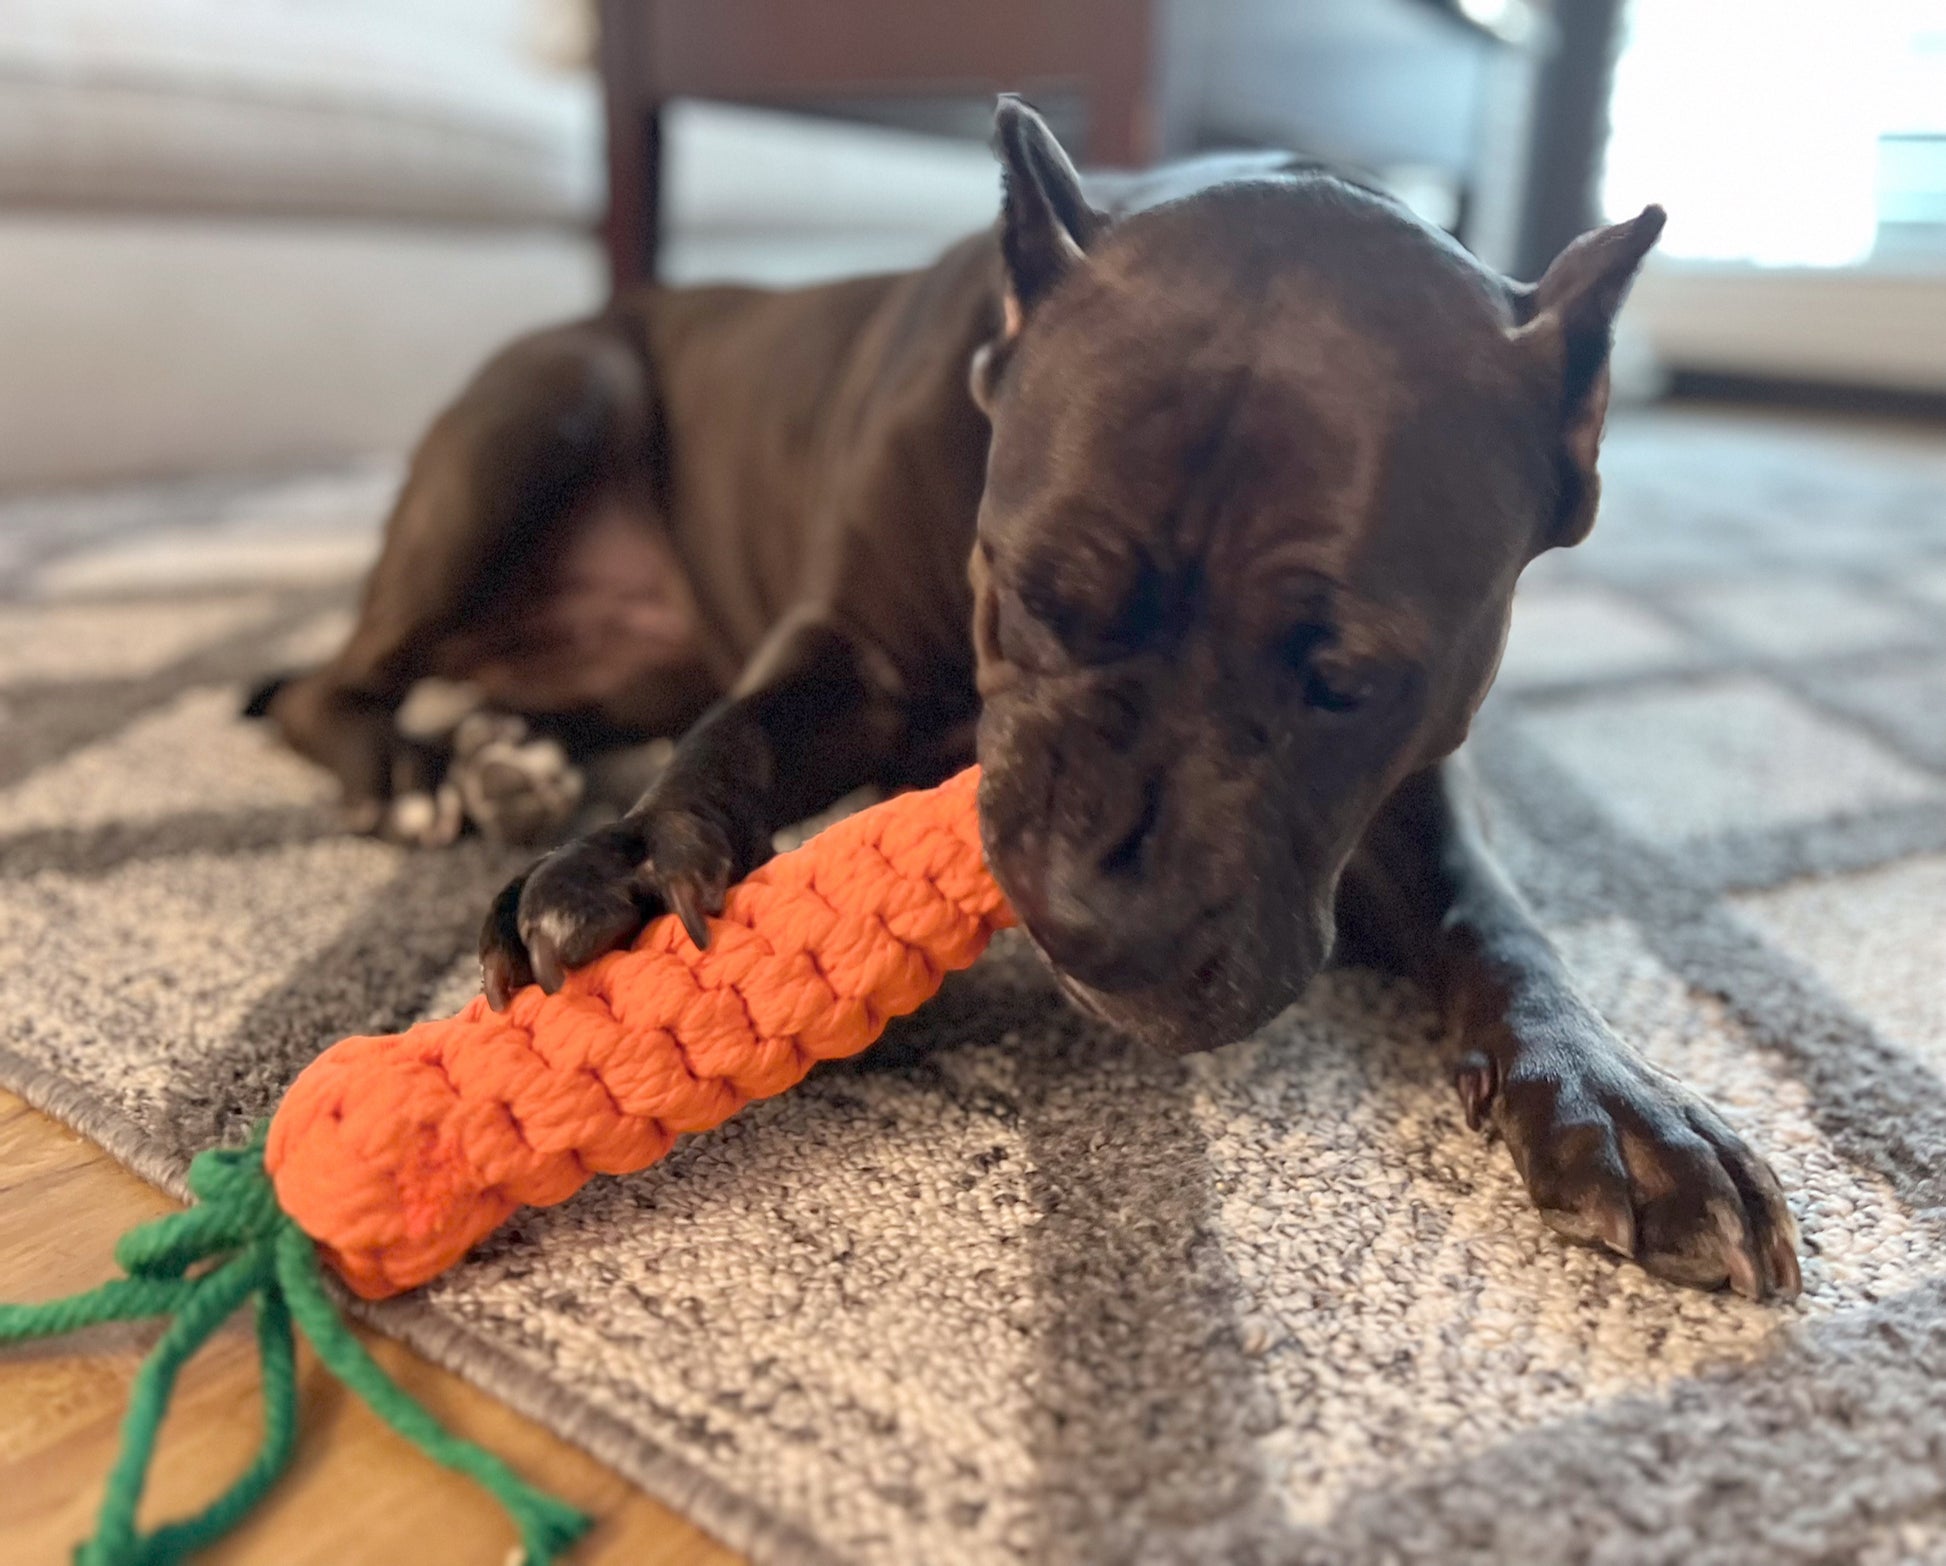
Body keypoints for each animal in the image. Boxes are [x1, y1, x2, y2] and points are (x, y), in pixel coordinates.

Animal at [251, 100, 1798, 1291]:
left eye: (1347, 679)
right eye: (1031, 590)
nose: (1090, 925)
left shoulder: (1412, 787)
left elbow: (1500, 918)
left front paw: (1611, 1091)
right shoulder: (845, 652)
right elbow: (735, 733)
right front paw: (623, 866)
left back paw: (503, 753)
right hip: (547, 405)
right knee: (332, 684)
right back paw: (419, 772)